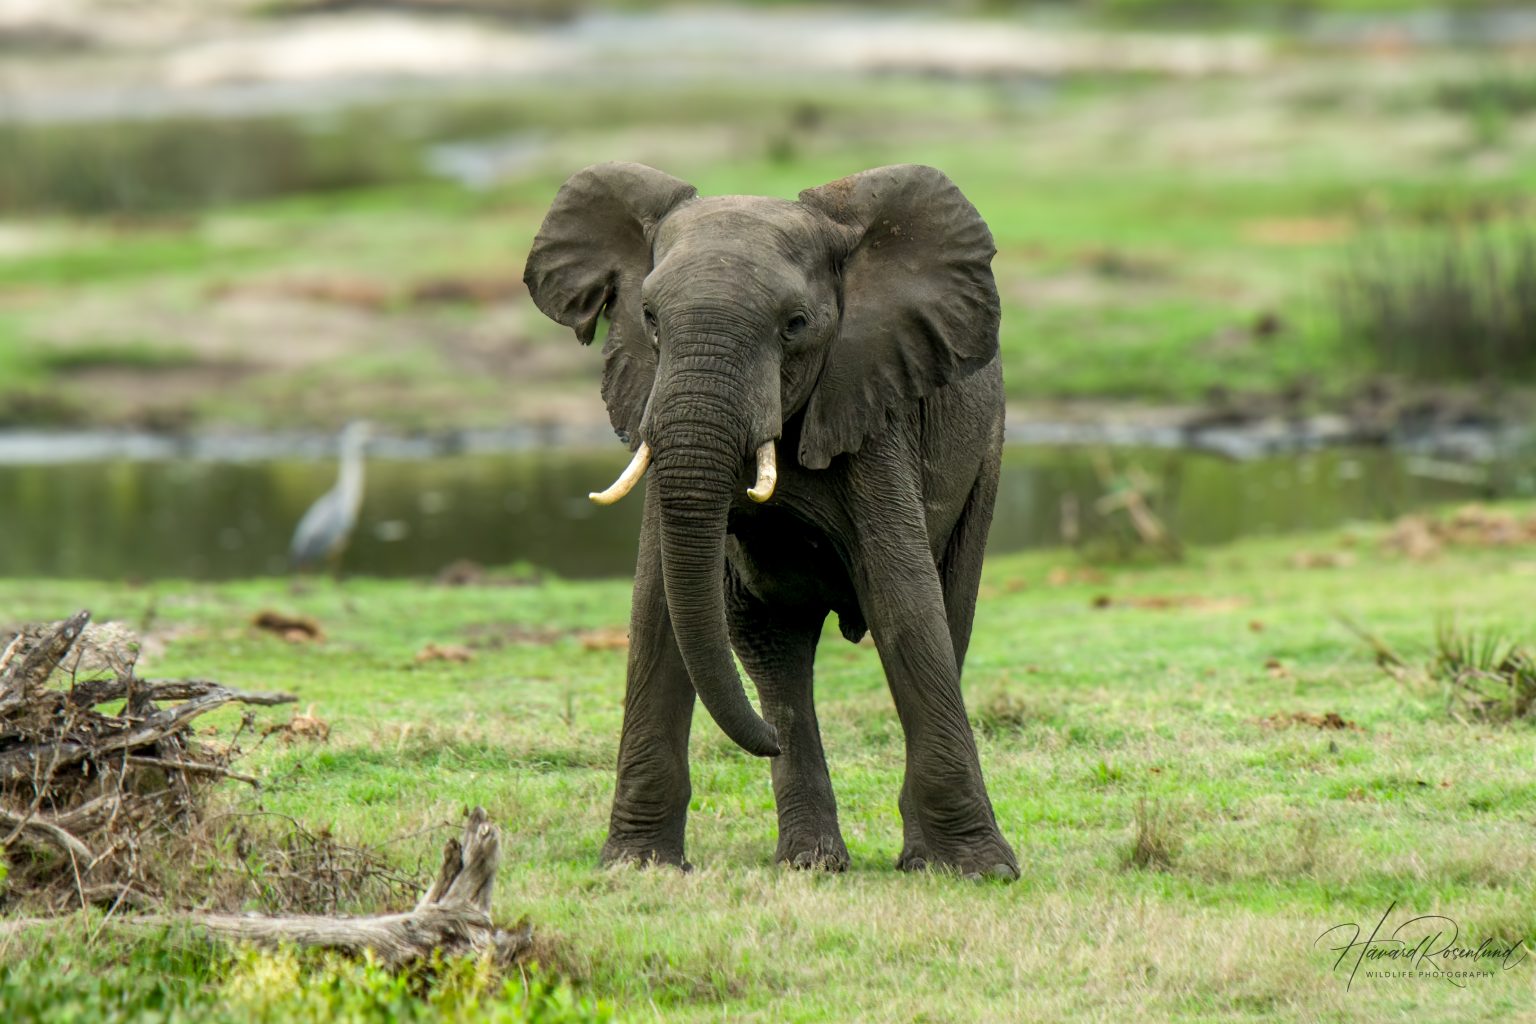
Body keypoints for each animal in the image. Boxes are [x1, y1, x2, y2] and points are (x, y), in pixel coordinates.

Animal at [523, 161, 1018, 879]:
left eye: (796, 324)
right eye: (648, 318)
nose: (765, 745)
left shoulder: (873, 410)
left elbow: (905, 602)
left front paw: (976, 872)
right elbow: (658, 606)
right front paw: (637, 866)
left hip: (987, 452)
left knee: (951, 613)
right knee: (773, 649)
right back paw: (810, 861)